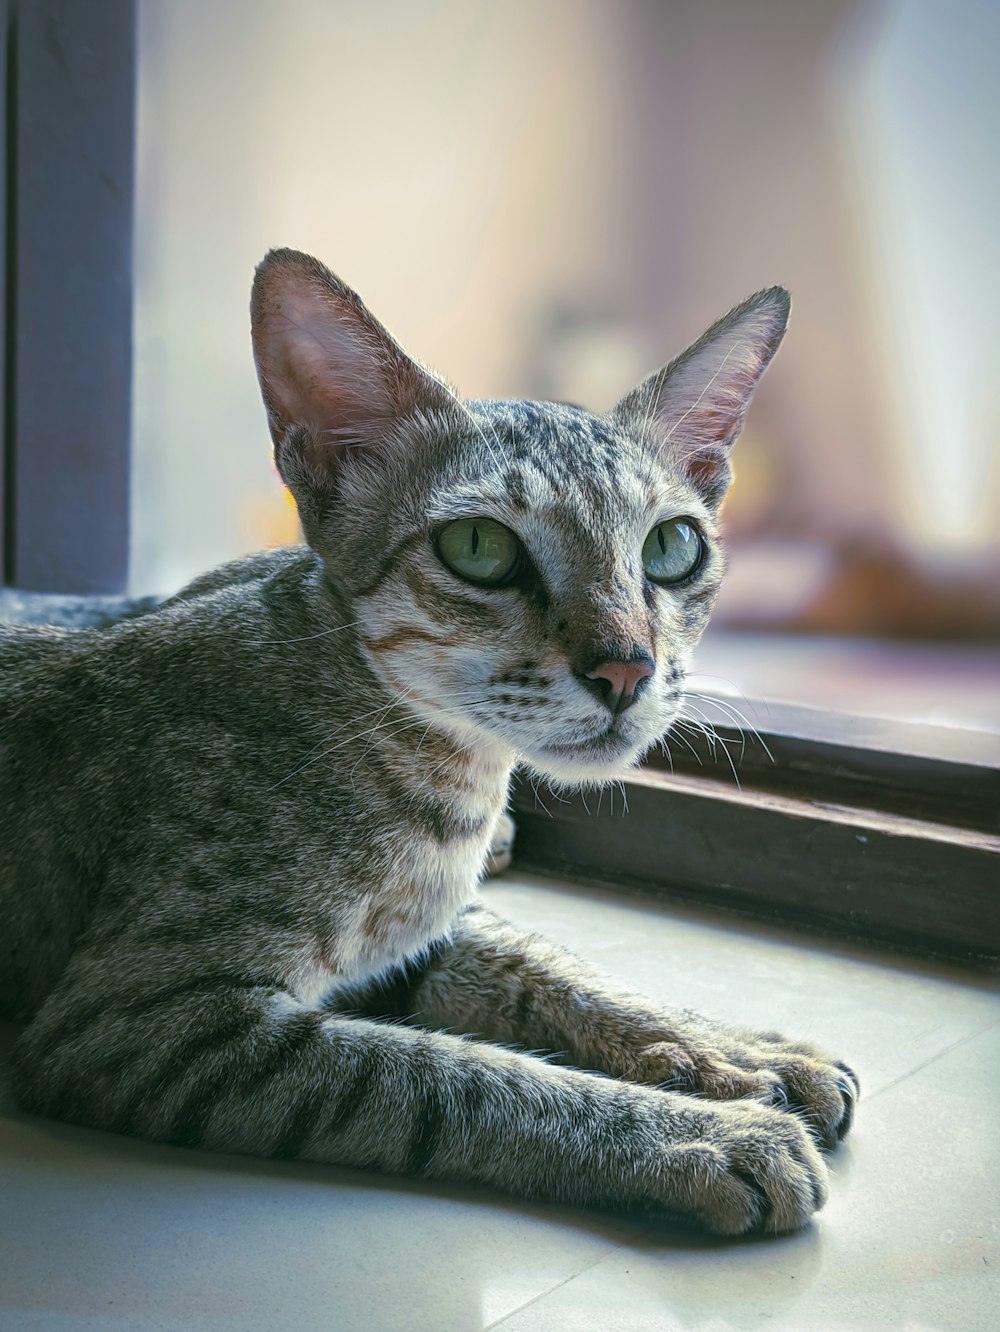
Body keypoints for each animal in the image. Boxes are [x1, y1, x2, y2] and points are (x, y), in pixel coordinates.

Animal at [0, 251, 857, 1236]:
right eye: (478, 546)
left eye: (673, 547)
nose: (628, 669)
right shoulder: (139, 1021)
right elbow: (453, 1077)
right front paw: (696, 1134)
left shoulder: (416, 939)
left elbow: (551, 967)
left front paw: (733, 1047)